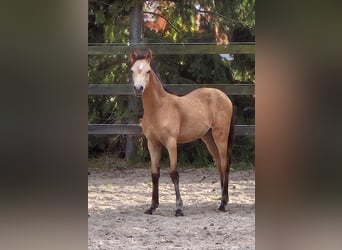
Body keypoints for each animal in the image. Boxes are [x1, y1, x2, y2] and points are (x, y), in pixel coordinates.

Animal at [130, 49, 234, 217]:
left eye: (148, 71)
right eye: (132, 70)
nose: (138, 88)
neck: (158, 108)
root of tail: (224, 96)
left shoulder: (171, 143)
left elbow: (174, 173)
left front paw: (179, 208)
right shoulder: (153, 144)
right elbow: (154, 174)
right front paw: (152, 207)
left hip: (221, 137)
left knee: (225, 164)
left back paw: (223, 204)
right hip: (208, 138)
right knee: (219, 164)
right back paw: (222, 200)